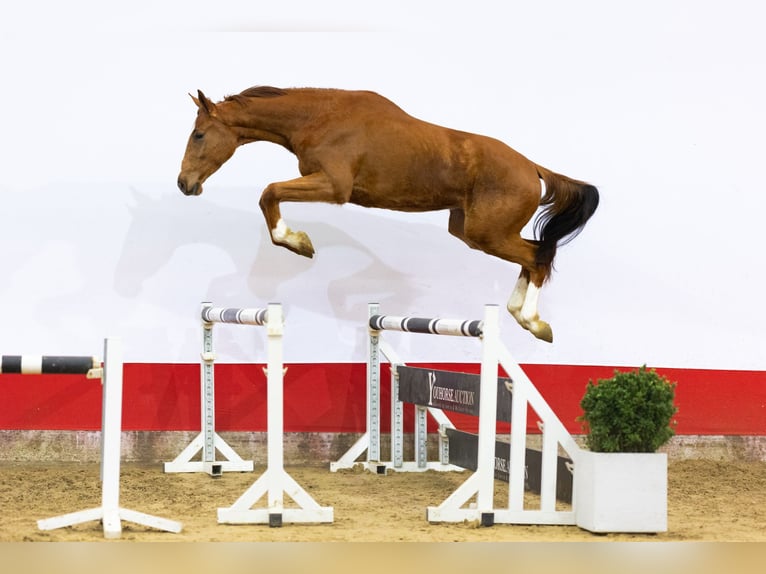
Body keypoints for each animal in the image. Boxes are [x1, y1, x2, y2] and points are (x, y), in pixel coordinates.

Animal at [177, 86, 599, 342]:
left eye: (199, 135)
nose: (184, 183)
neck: (319, 118)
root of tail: (533, 168)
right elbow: (270, 195)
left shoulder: (333, 187)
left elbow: (269, 193)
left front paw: (298, 243)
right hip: (470, 231)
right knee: (533, 254)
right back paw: (519, 312)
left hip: (487, 233)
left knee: (538, 256)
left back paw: (532, 321)